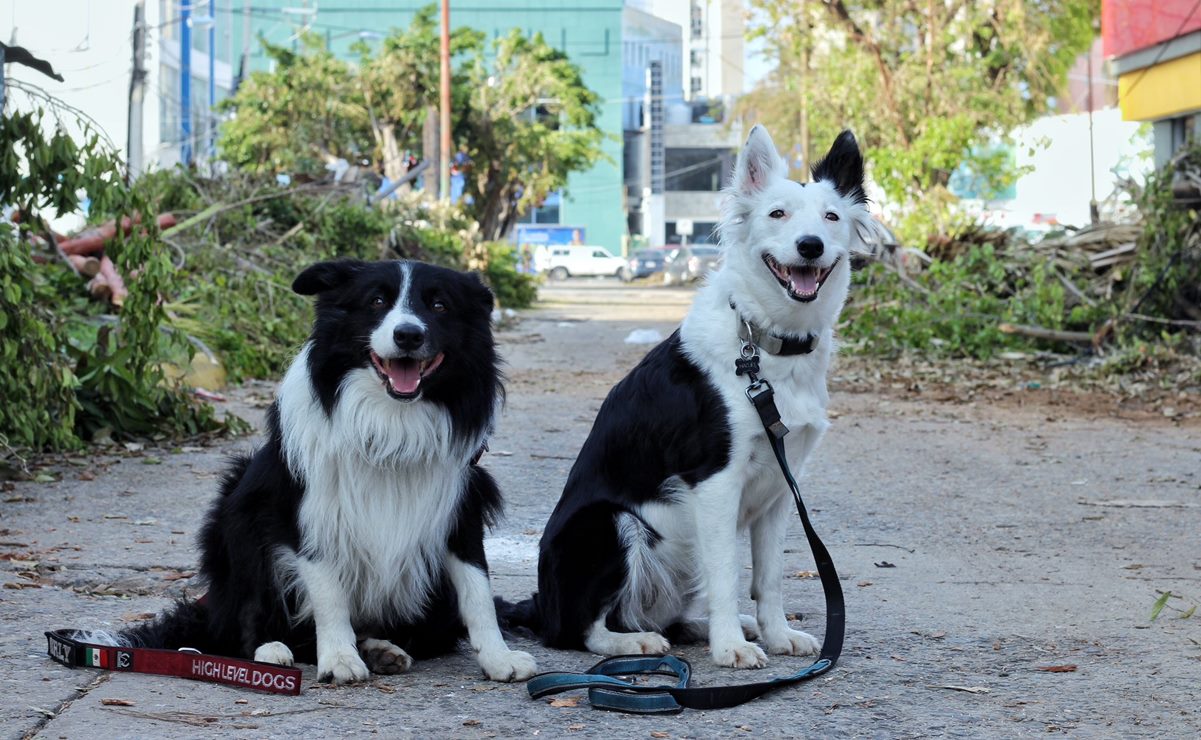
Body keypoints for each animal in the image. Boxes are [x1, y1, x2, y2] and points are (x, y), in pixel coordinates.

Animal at [99, 258, 540, 682]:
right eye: (377, 301)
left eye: (439, 305)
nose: (408, 336)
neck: (390, 420)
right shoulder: (306, 510)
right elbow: (329, 593)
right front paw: (339, 658)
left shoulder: (462, 506)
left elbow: (477, 588)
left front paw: (498, 658)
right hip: (237, 507)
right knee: (248, 615)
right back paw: (271, 652)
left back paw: (381, 648)